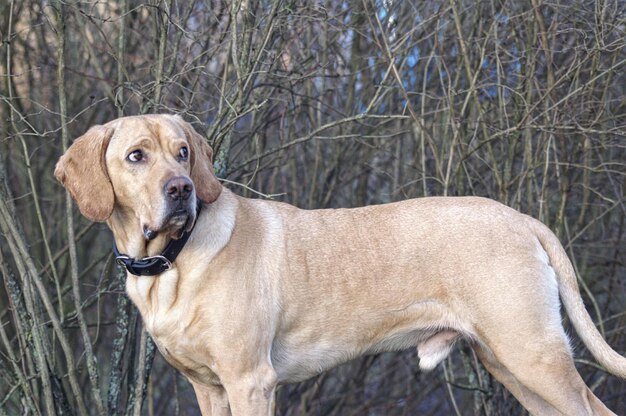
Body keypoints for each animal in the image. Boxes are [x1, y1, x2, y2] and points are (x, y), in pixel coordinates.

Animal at [54, 113, 624, 412]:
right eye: (136, 156)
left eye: (183, 153)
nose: (181, 190)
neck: (171, 260)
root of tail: (523, 219)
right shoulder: (208, 386)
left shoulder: (249, 380)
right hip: (509, 365)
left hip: (534, 355)